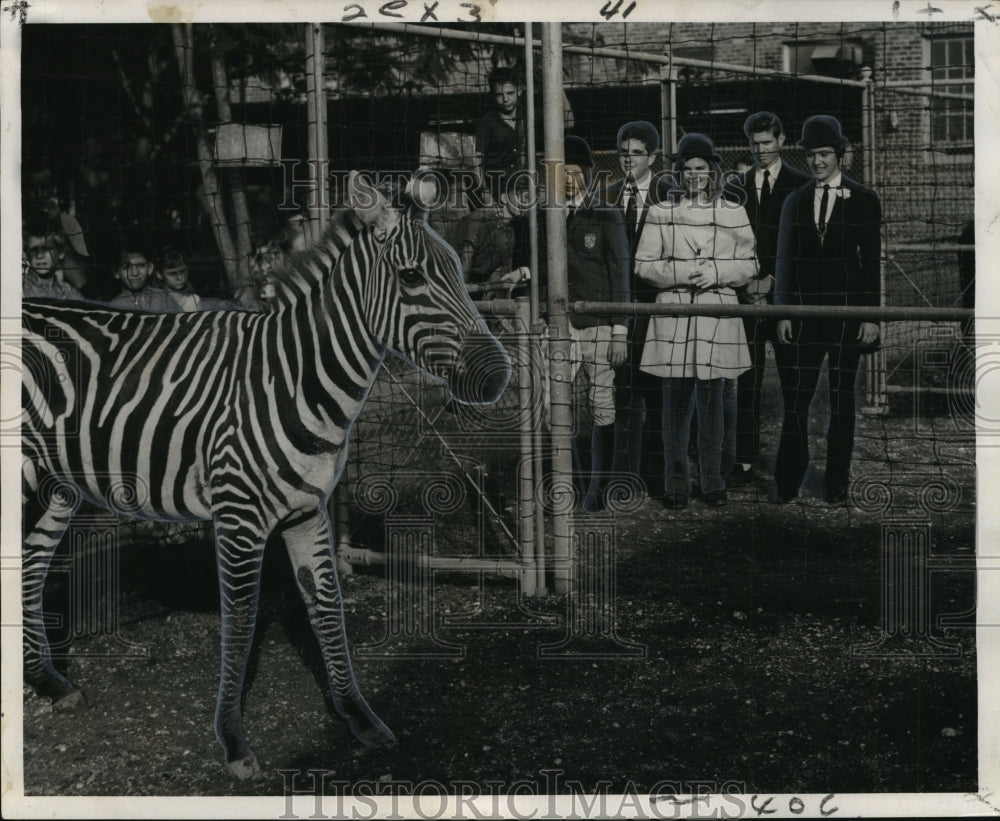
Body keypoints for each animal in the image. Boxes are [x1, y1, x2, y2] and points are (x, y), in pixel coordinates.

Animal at [19, 171, 512, 776]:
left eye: (460, 272)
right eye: (412, 277)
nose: (497, 376)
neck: (298, 377)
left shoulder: (308, 510)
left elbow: (327, 607)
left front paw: (360, 717)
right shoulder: (238, 516)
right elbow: (241, 620)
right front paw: (233, 741)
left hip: (53, 487)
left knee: (29, 566)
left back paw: (48, 683)